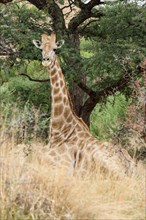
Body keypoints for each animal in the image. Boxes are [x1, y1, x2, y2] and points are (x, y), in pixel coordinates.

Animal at [32, 32, 136, 176]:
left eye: (55, 49)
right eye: (41, 49)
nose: (45, 60)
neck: (60, 130)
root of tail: (129, 166)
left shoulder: (62, 166)